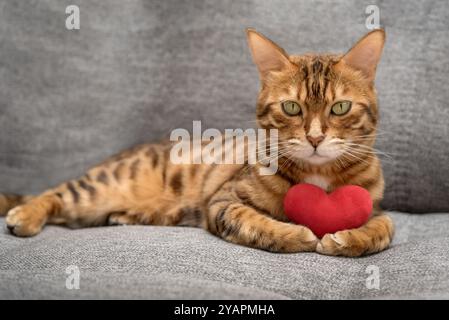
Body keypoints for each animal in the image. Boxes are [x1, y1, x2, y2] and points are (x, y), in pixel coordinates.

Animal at [0, 29, 392, 258]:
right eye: (291, 107)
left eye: (339, 107)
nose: (314, 138)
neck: (319, 176)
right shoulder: (224, 201)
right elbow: (256, 222)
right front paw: (296, 233)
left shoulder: (372, 206)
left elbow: (385, 226)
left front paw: (349, 239)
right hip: (102, 186)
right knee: (52, 194)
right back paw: (25, 215)